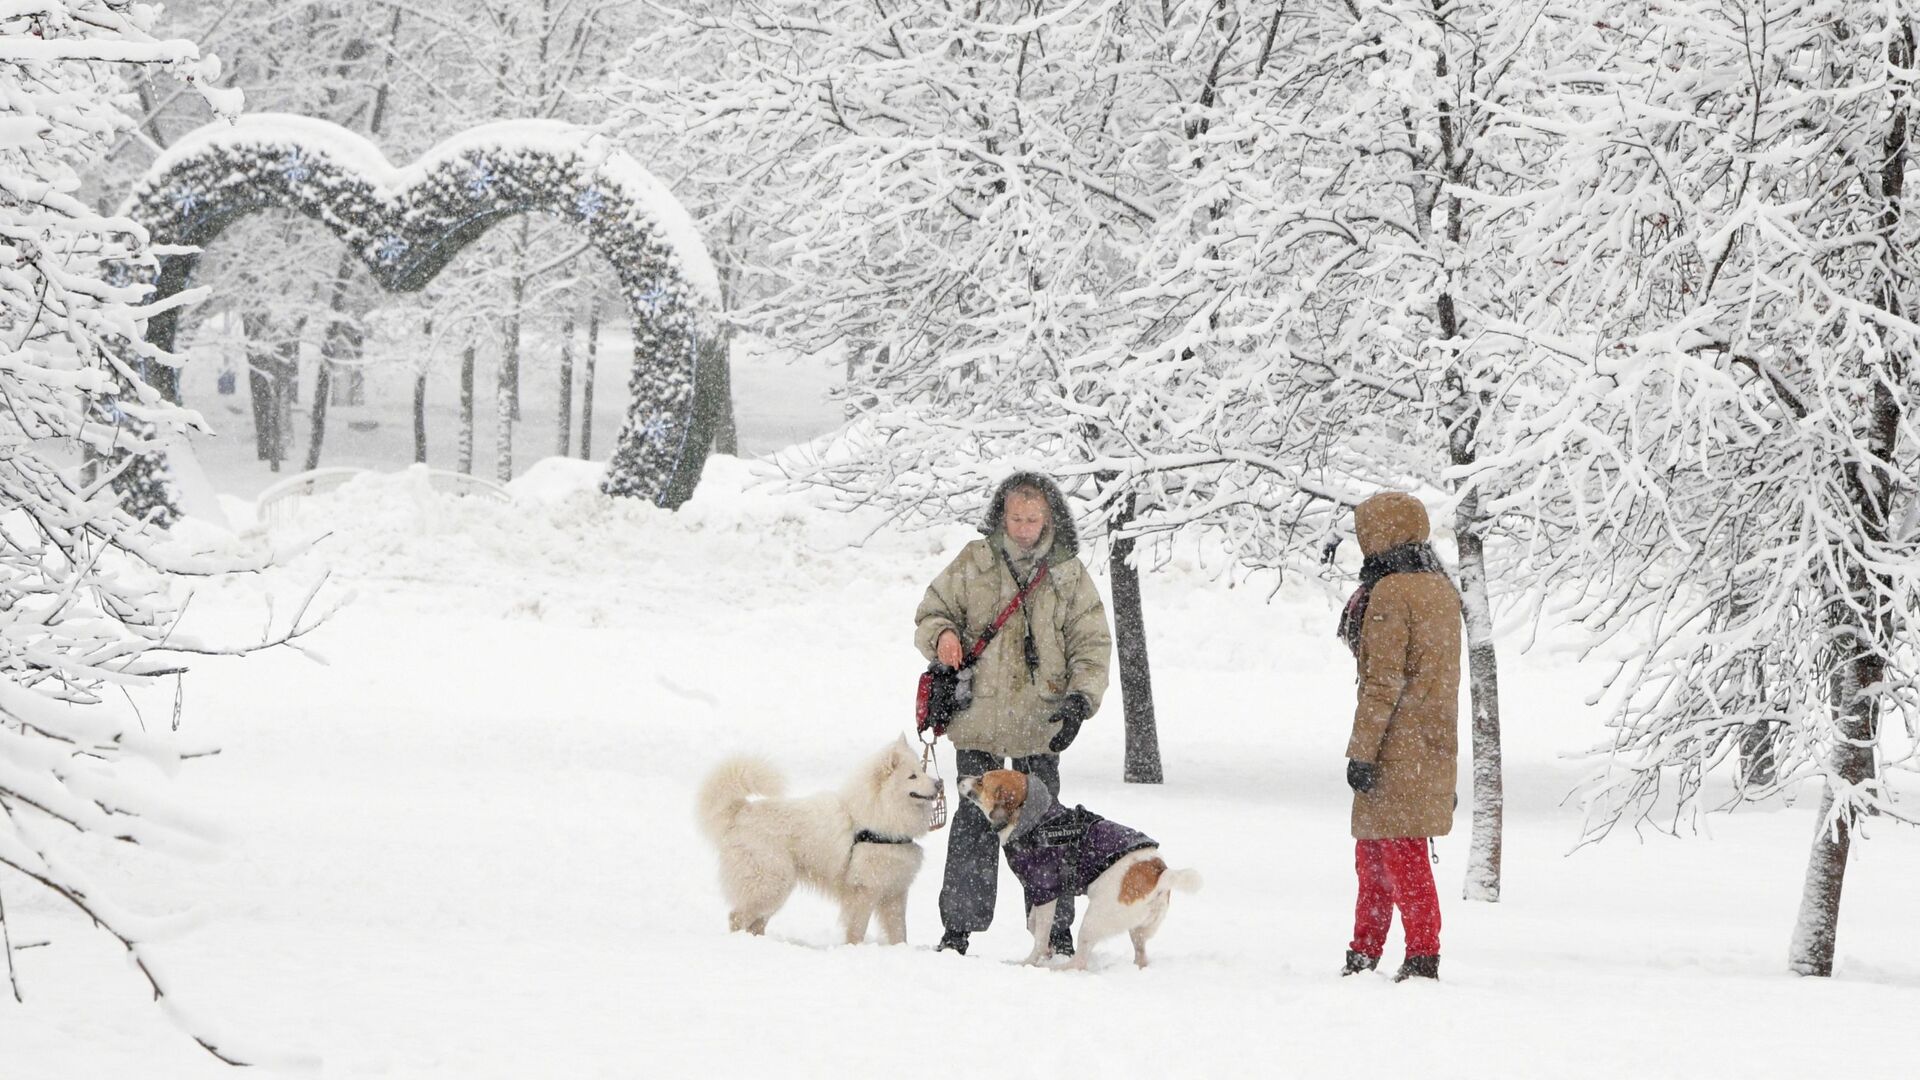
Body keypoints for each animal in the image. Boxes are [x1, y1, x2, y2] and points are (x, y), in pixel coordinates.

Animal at [702, 730, 948, 941]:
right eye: (912, 776)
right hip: (770, 883)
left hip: (775, 888)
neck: (880, 817)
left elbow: (900, 933)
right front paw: (855, 949)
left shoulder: (895, 892)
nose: (939, 783)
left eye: (922, 770)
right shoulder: (864, 890)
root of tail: (741, 811)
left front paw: (901, 950)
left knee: (756, 923)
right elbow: (857, 930)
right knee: (737, 917)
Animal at [960, 764, 1198, 968]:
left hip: (1094, 919)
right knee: (1141, 955)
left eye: (981, 780)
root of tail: (1160, 871)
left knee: (1080, 961)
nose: (959, 777)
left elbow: (1039, 933)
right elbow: (1033, 924)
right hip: (1138, 929)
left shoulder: (1045, 891)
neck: (1031, 820)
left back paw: (1060, 969)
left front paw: (1031, 962)